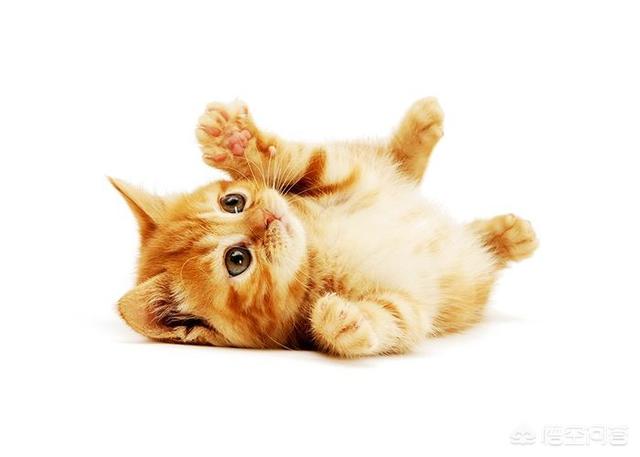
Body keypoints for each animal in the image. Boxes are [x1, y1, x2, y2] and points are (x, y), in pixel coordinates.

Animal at [110, 98, 537, 357]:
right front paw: (342, 321)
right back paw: (505, 238)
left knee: (392, 160)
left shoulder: (341, 179)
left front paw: (236, 143)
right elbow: (395, 320)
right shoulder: (407, 302)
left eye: (233, 202)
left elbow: (309, 160)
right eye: (237, 260)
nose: (268, 218)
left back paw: (423, 125)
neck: (316, 247)